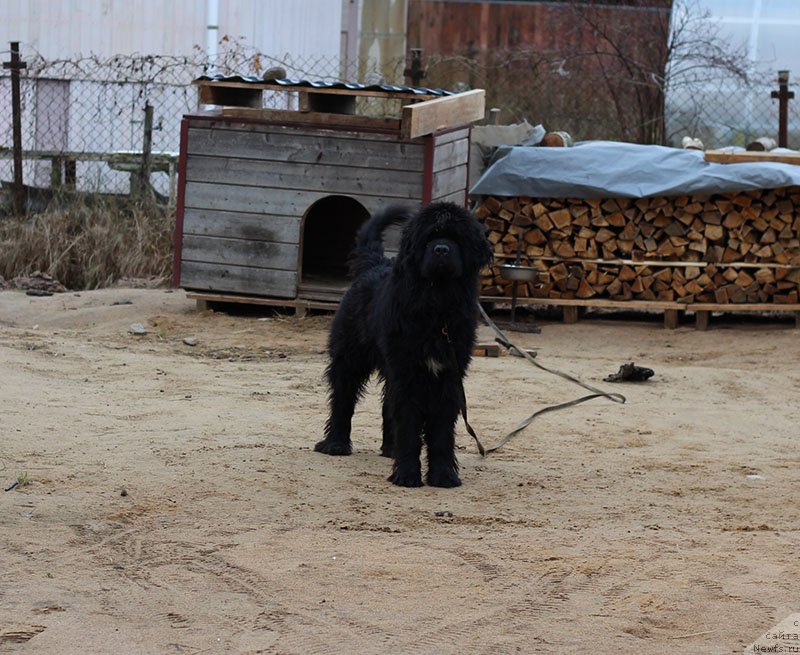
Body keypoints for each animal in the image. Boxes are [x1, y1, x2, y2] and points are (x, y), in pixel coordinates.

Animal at [314, 201, 494, 486]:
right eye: (430, 237)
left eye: (455, 238)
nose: (441, 249)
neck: (437, 308)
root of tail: (375, 264)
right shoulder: (408, 373)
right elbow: (408, 425)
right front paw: (407, 475)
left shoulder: (447, 378)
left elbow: (441, 432)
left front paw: (443, 476)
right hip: (350, 358)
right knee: (343, 399)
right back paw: (336, 444)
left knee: (387, 404)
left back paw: (390, 449)